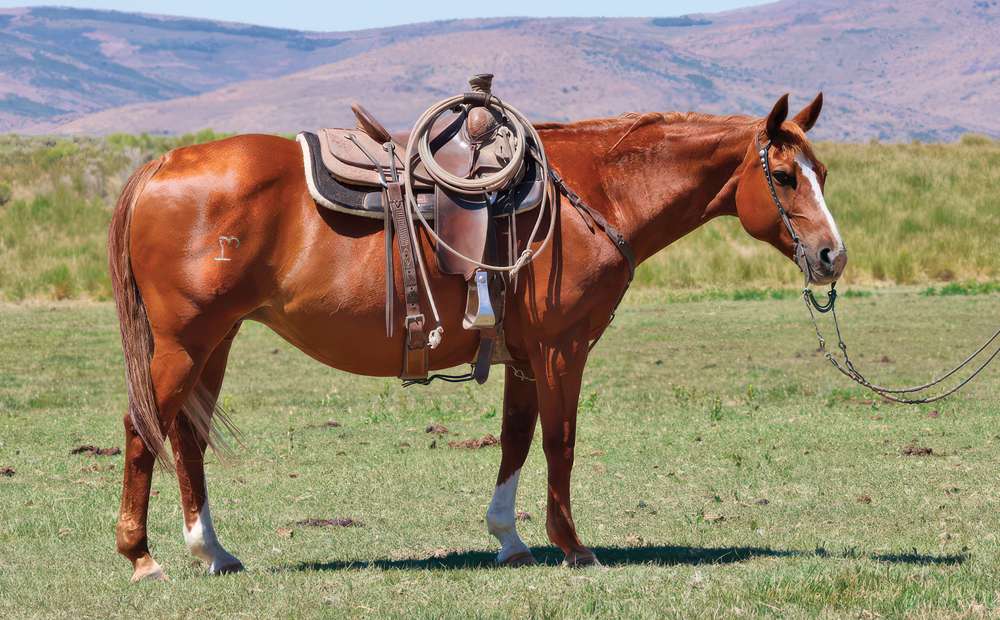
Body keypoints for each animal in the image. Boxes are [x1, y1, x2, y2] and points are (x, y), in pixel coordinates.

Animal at [108, 93, 846, 581]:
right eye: (784, 176)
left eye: (822, 174)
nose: (832, 256)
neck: (593, 194)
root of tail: (162, 166)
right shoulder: (561, 347)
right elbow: (559, 441)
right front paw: (572, 545)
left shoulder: (523, 354)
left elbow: (516, 438)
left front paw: (509, 539)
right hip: (184, 342)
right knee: (142, 428)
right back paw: (142, 556)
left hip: (216, 340)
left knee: (187, 437)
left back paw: (212, 551)